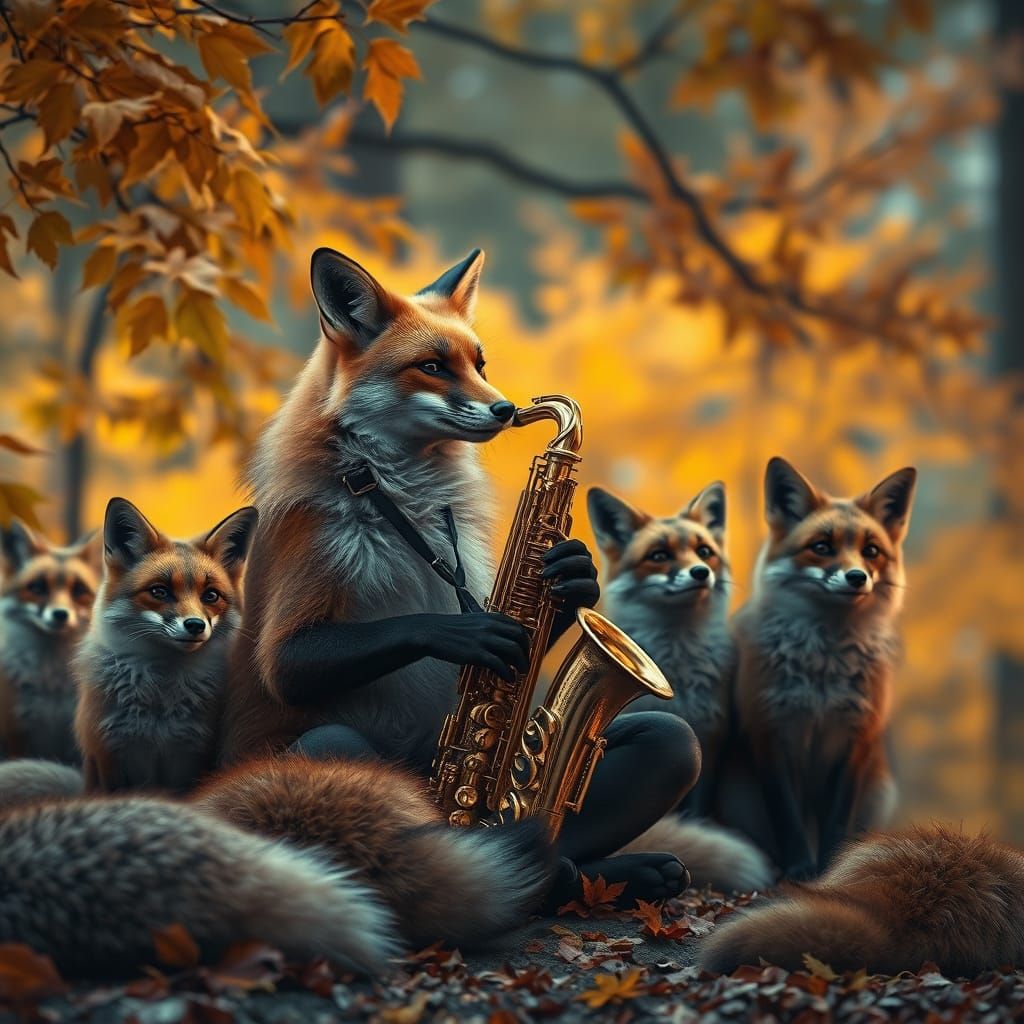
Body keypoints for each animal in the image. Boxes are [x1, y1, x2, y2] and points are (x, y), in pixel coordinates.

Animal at [731, 457, 916, 879]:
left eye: (871, 551)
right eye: (821, 547)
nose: (856, 577)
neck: (823, 671)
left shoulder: (855, 739)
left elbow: (838, 822)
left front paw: (832, 868)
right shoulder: (771, 733)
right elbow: (788, 818)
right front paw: (800, 868)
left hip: (879, 792)